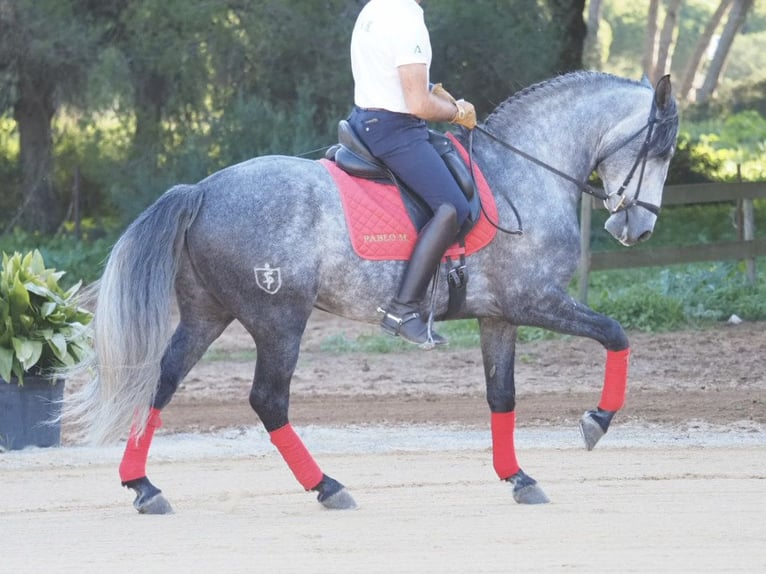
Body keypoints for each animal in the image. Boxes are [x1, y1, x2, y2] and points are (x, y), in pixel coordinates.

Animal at [64, 70, 680, 516]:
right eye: (662, 149)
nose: (640, 229)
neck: (521, 176)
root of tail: (203, 190)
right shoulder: (537, 301)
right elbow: (616, 334)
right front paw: (597, 421)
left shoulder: (500, 317)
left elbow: (501, 397)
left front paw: (519, 478)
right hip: (279, 319)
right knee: (268, 401)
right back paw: (328, 487)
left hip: (206, 314)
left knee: (163, 382)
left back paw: (144, 487)